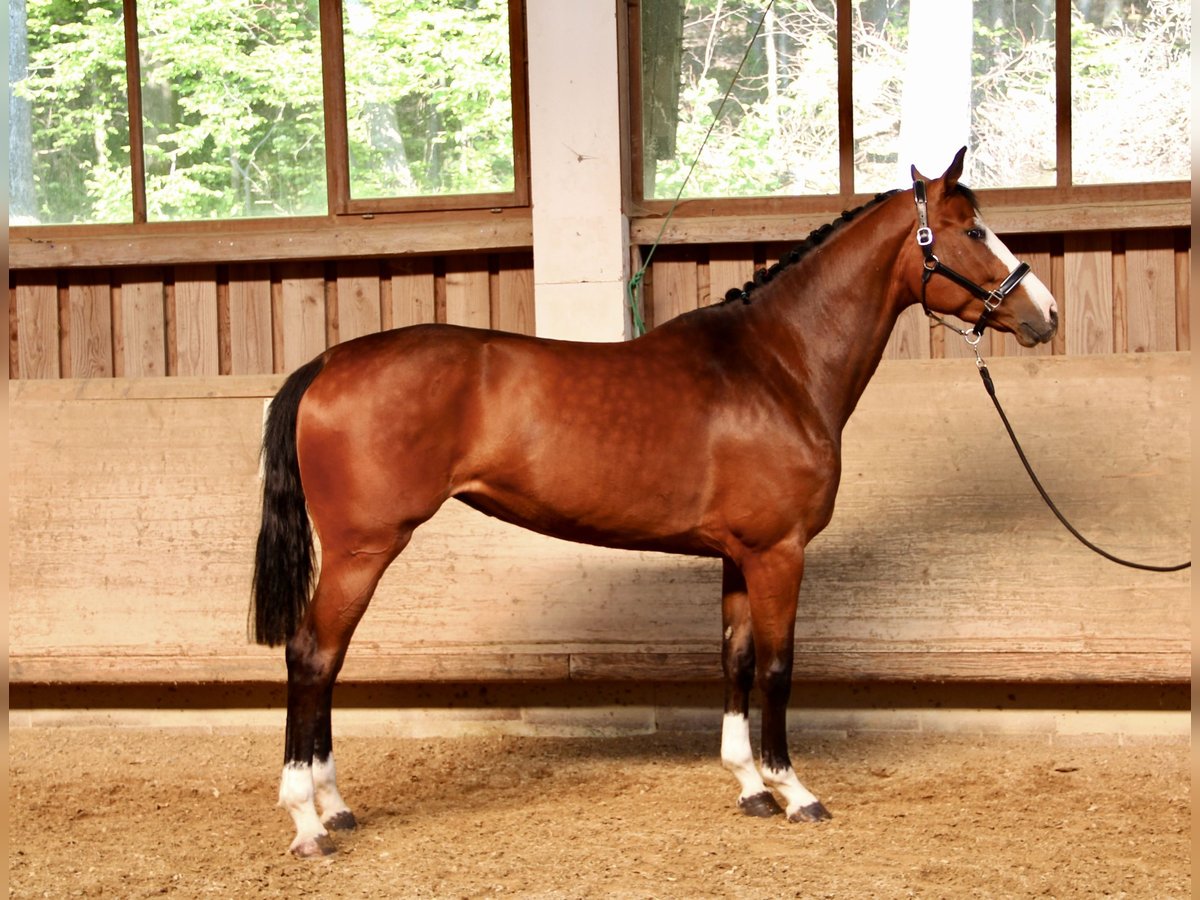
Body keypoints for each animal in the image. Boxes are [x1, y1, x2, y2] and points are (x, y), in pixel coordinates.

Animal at [253, 150, 1060, 859]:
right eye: (972, 230)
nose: (1044, 313)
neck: (779, 365)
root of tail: (326, 362)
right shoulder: (779, 553)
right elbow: (777, 667)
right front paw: (795, 792)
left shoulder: (739, 557)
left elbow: (734, 661)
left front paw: (750, 786)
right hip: (363, 549)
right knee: (313, 655)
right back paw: (309, 821)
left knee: (325, 662)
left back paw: (335, 807)